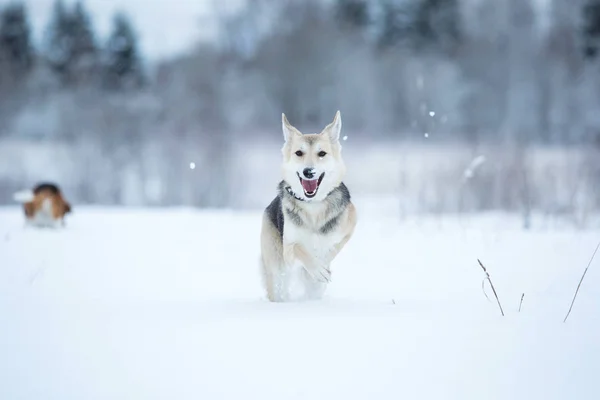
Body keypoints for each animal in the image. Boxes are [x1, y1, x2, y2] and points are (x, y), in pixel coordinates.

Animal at [258, 111, 356, 302]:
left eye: (322, 153)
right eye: (299, 153)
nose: (308, 171)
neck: (314, 205)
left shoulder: (348, 230)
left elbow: (332, 249)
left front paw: (321, 266)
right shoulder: (289, 249)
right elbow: (300, 250)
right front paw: (317, 269)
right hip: (276, 266)